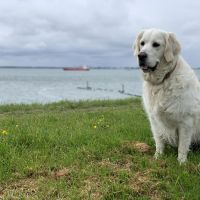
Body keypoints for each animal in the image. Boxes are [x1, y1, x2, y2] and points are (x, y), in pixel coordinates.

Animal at [134, 28, 200, 163]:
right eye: (142, 43)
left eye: (156, 44)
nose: (141, 55)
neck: (162, 81)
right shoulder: (154, 120)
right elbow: (159, 140)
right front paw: (158, 156)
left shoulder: (186, 121)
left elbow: (183, 145)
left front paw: (181, 162)